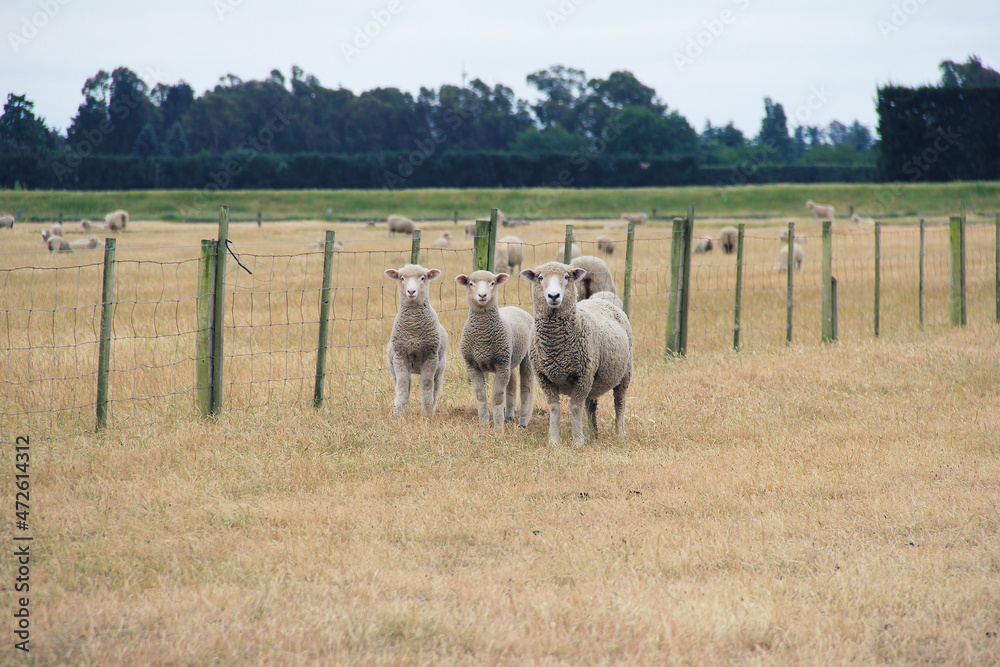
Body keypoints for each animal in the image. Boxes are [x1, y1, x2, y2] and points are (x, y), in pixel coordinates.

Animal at [384, 264, 449, 416]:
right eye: (402, 278)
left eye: (423, 278)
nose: (411, 291)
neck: (413, 327)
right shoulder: (400, 356)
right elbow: (403, 385)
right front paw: (398, 413)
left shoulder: (431, 356)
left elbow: (426, 384)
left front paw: (427, 411)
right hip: (392, 366)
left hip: (440, 366)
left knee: (436, 387)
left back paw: (433, 407)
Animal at [455, 270, 534, 428]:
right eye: (471, 283)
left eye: (492, 283)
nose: (482, 295)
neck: (482, 337)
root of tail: (514, 307)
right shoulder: (472, 366)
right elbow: (480, 395)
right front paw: (484, 424)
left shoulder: (501, 365)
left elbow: (497, 396)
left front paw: (498, 427)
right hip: (509, 358)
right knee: (512, 383)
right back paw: (508, 415)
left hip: (525, 358)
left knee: (526, 387)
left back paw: (524, 419)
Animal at [519, 261, 633, 447]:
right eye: (540, 277)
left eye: (567, 277)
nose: (553, 296)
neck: (556, 346)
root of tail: (600, 298)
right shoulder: (544, 377)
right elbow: (554, 408)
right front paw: (553, 441)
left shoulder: (583, 375)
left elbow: (575, 408)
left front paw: (577, 442)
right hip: (593, 380)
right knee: (591, 405)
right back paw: (592, 434)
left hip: (624, 372)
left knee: (620, 402)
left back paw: (619, 433)